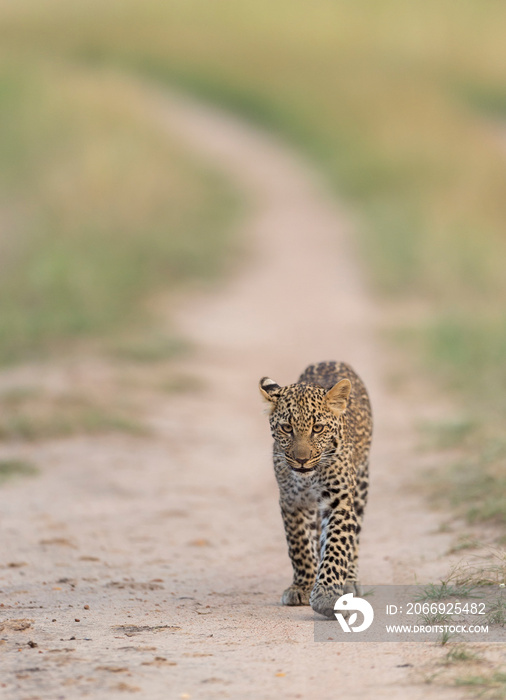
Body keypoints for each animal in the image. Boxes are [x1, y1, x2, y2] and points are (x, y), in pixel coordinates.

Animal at [260, 360, 372, 616]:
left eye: (318, 428)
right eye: (286, 428)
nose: (301, 460)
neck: (308, 479)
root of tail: (330, 360)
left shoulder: (339, 500)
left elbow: (337, 545)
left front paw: (326, 595)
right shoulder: (292, 501)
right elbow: (299, 545)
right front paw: (302, 587)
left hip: (361, 486)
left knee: (354, 538)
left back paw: (349, 580)